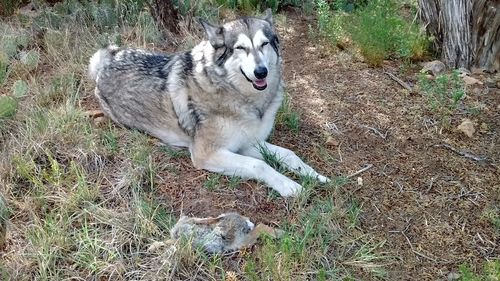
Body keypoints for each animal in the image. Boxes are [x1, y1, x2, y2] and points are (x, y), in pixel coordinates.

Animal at [88, 9, 330, 197]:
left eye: (264, 44)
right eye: (240, 48)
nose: (261, 72)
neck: (244, 100)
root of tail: (107, 59)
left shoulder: (248, 143)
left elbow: (289, 154)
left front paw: (315, 175)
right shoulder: (207, 154)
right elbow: (260, 165)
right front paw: (291, 186)